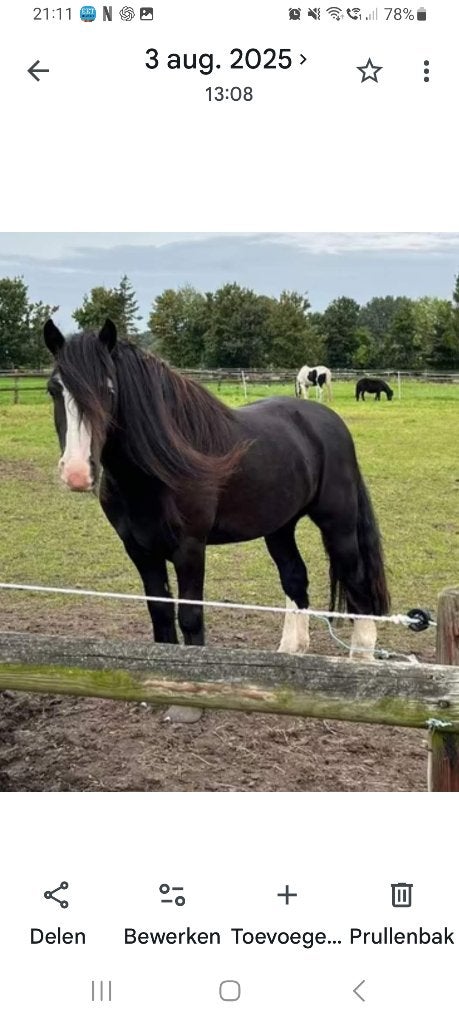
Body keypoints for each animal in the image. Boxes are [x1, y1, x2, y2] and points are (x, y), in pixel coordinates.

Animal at [44, 319, 390, 723]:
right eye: (54, 389)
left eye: (109, 388)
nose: (77, 473)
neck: (159, 467)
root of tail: (327, 421)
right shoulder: (140, 550)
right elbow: (160, 612)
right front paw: (157, 685)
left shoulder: (190, 549)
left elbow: (190, 616)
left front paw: (188, 701)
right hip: (279, 527)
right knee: (295, 578)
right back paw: (290, 653)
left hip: (339, 524)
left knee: (357, 582)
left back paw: (360, 660)